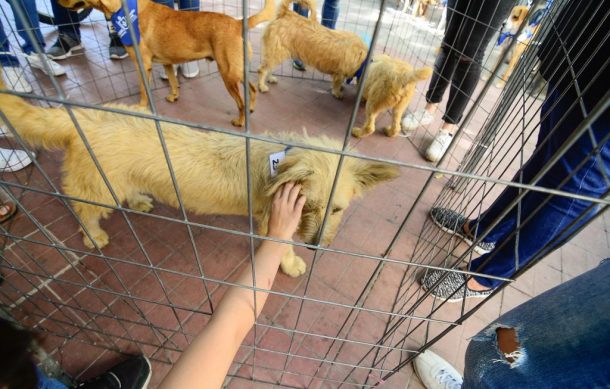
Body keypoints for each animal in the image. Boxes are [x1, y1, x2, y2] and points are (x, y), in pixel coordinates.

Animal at [1, 90, 400, 276]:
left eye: (338, 209)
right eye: (309, 206)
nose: (316, 247)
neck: (279, 159)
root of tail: (82, 116)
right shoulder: (274, 221)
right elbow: (282, 246)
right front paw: (290, 264)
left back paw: (140, 200)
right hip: (99, 189)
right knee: (80, 207)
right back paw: (92, 236)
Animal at [57, 0, 274, 126]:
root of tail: (238, 23)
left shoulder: (142, 64)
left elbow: (144, 90)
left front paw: (141, 108)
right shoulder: (167, 63)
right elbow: (172, 81)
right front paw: (173, 96)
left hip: (228, 75)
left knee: (240, 102)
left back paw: (241, 121)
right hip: (238, 72)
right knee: (252, 90)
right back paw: (251, 109)